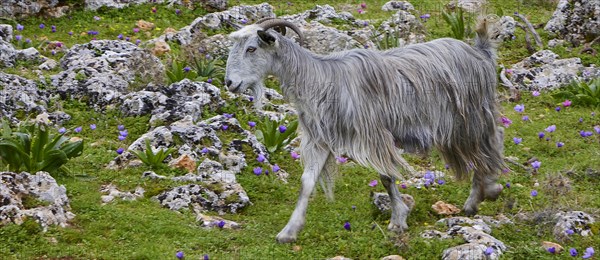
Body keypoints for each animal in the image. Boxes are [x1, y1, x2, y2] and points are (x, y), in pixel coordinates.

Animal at [225, 18, 506, 244]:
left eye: (251, 48)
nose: (229, 83)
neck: (319, 79)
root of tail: (481, 52)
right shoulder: (320, 140)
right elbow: (307, 182)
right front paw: (289, 231)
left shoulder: (375, 134)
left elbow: (386, 176)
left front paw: (398, 220)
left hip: (471, 118)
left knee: (489, 148)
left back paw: (482, 195)